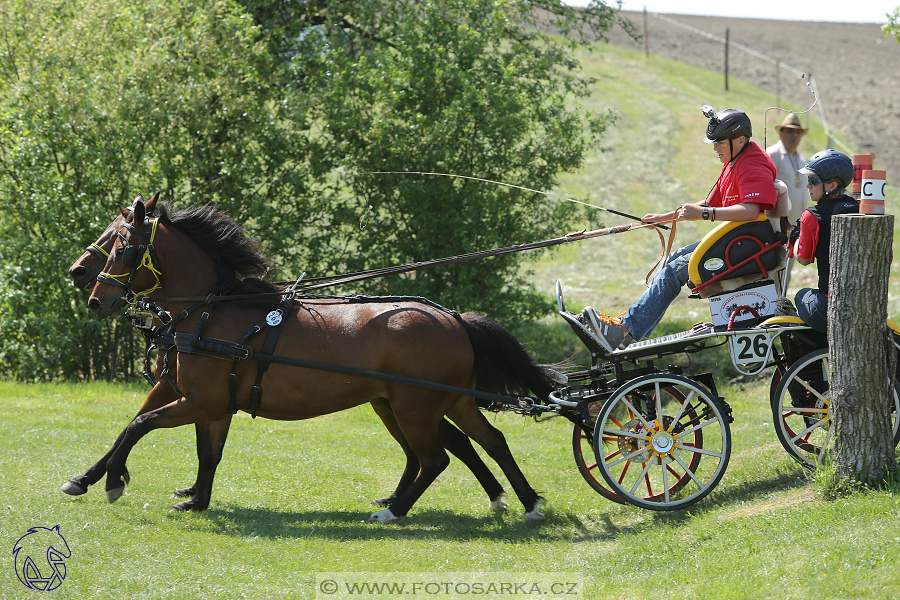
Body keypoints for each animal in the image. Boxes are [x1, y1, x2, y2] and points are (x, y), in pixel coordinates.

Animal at [82, 197, 556, 520]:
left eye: (121, 247)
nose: (94, 298)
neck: (213, 312)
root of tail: (455, 319)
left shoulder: (200, 400)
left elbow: (139, 425)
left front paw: (111, 479)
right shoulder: (208, 403)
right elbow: (206, 452)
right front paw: (196, 498)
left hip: (416, 408)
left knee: (436, 457)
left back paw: (395, 510)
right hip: (432, 402)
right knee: (487, 441)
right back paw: (525, 502)